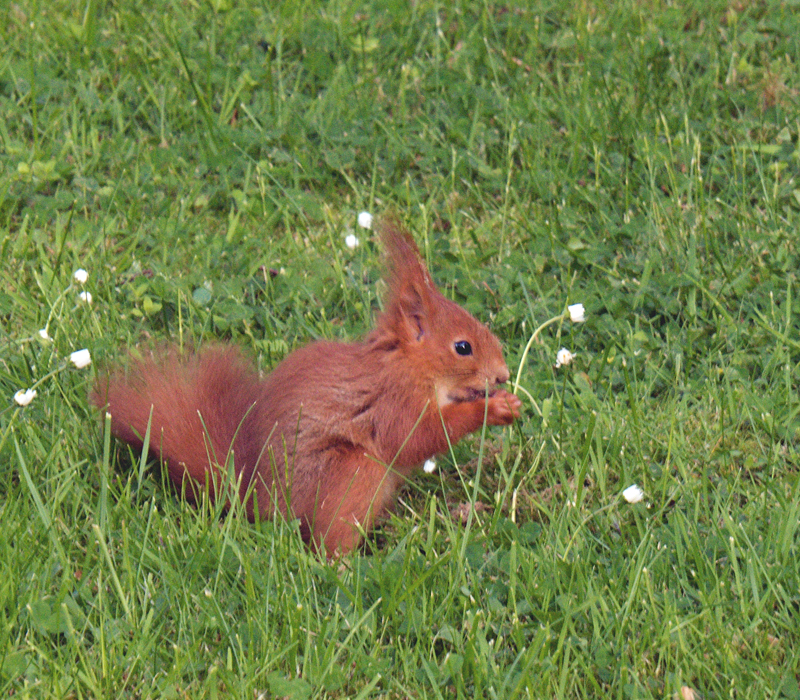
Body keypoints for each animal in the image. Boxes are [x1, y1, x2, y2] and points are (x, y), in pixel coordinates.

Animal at [92, 219, 520, 556]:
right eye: (463, 347)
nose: (502, 374)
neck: (409, 365)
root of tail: (260, 501)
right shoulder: (394, 400)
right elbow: (415, 437)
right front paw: (492, 409)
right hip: (352, 473)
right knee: (328, 539)